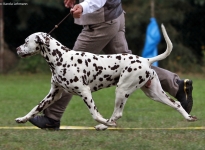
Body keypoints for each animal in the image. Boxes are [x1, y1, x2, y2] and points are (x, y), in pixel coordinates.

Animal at [16, 24, 197, 130]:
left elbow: (95, 115)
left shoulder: (85, 92)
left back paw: (106, 125)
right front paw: (23, 119)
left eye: (26, 41)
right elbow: (35, 108)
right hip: (154, 93)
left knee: (117, 115)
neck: (61, 58)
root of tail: (146, 60)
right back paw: (189, 118)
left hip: (122, 90)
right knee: (177, 104)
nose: (17, 49)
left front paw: (103, 122)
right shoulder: (54, 94)